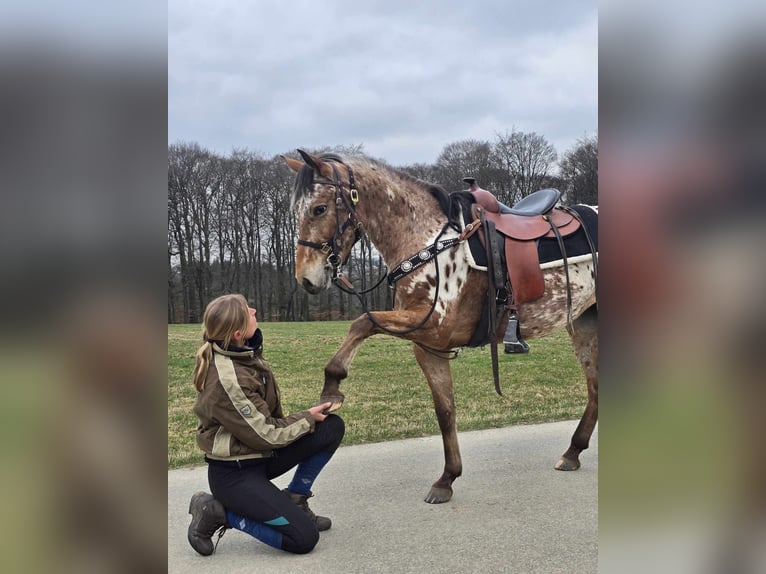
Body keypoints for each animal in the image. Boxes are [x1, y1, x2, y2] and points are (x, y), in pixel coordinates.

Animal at [284, 150, 600, 504]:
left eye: (319, 208)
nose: (306, 278)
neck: (429, 242)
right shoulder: (429, 345)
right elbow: (445, 411)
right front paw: (447, 478)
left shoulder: (433, 325)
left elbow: (362, 322)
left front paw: (332, 385)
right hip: (584, 325)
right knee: (595, 388)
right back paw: (572, 452)